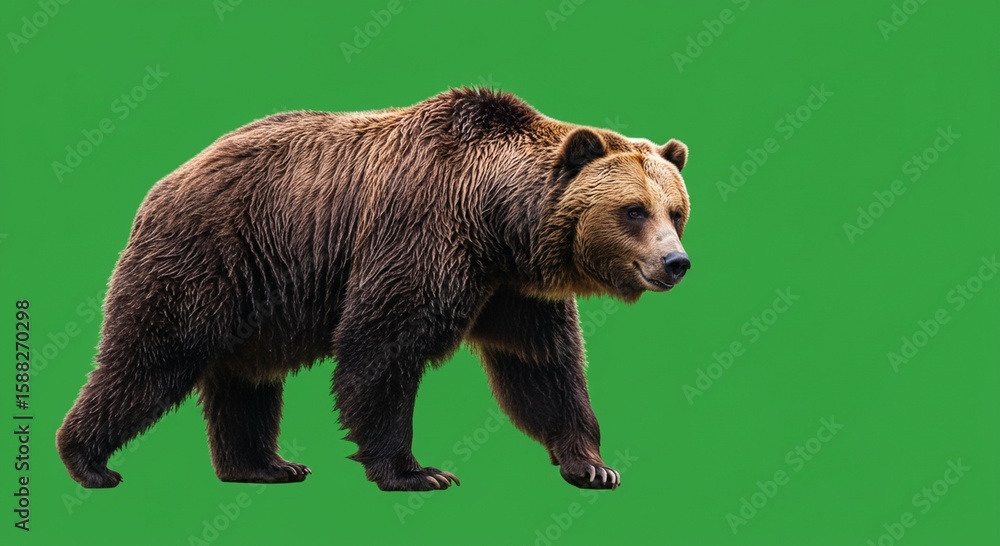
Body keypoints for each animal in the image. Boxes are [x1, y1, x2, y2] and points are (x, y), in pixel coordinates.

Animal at [56, 87, 692, 491]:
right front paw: (417, 471)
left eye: (677, 211)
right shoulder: (420, 234)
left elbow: (542, 370)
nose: (676, 262)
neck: (496, 224)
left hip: (258, 296)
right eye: (633, 210)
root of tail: (164, 182)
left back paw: (265, 464)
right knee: (150, 357)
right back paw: (88, 461)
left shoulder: (513, 292)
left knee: (247, 378)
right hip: (211, 255)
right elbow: (380, 350)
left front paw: (592, 465)